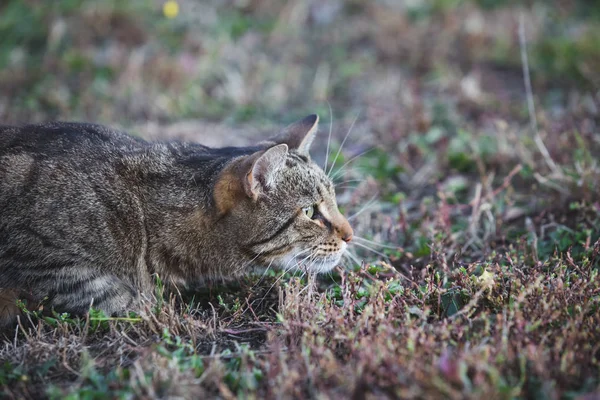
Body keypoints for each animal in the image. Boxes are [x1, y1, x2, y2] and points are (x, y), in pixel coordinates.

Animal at [0, 115, 354, 324]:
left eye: (334, 199)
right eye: (309, 212)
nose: (350, 235)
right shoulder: (39, 258)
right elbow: (108, 293)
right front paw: (151, 307)